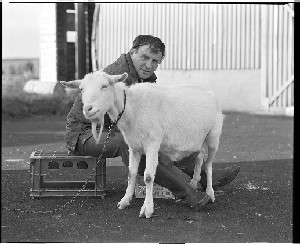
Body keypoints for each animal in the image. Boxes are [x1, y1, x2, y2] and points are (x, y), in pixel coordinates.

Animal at [60, 71, 223, 218]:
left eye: (104, 86)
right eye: (81, 89)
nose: (87, 109)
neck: (132, 109)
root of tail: (210, 93)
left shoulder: (152, 144)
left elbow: (149, 177)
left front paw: (147, 209)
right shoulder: (134, 146)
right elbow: (131, 173)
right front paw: (125, 201)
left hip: (213, 135)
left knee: (208, 163)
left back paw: (209, 193)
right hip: (196, 139)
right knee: (200, 156)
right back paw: (194, 183)